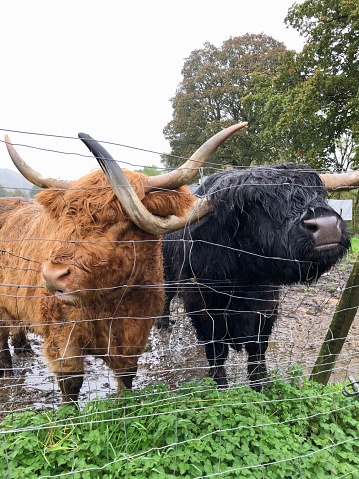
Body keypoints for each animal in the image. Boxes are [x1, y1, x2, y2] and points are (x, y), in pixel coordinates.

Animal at [162, 164, 352, 390]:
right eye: (253, 204)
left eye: (317, 193)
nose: (327, 225)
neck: (243, 283)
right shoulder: (202, 308)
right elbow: (217, 353)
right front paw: (221, 386)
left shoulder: (267, 309)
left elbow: (257, 352)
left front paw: (261, 386)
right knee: (166, 296)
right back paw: (163, 324)